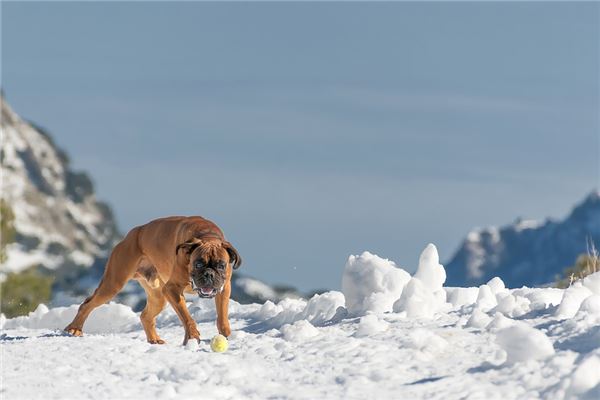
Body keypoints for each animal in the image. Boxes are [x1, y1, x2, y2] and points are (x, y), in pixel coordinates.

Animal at [65, 216, 241, 344]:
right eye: (198, 264)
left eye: (221, 265)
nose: (208, 274)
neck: (206, 235)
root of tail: (132, 234)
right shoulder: (172, 289)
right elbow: (187, 317)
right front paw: (192, 337)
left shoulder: (224, 290)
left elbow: (222, 316)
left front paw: (227, 335)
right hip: (113, 284)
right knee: (87, 304)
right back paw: (75, 328)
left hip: (159, 297)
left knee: (145, 316)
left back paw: (154, 339)